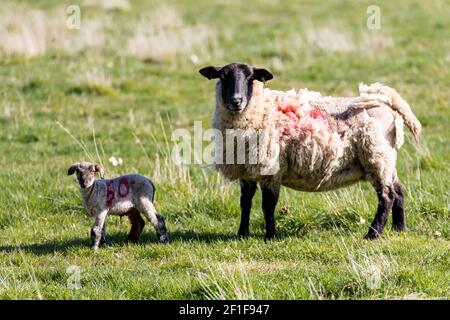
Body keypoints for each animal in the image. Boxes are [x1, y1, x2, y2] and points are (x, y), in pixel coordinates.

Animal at [199, 62, 420, 240]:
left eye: (250, 77)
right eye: (222, 76)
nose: (236, 101)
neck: (261, 109)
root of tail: (386, 101)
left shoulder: (271, 169)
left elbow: (268, 205)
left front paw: (270, 236)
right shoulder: (247, 170)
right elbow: (245, 203)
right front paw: (242, 234)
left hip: (376, 156)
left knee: (387, 196)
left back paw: (373, 234)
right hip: (387, 159)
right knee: (398, 191)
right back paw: (399, 229)